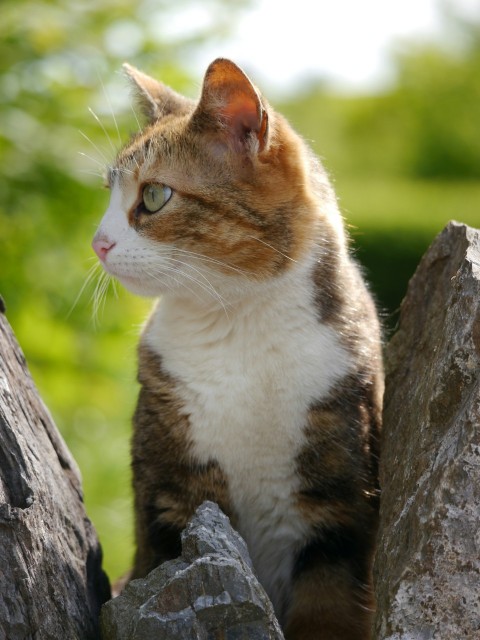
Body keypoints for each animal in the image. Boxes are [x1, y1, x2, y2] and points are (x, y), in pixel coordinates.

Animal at [92, 57, 384, 636]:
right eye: (109, 194)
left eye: (154, 196)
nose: (98, 242)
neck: (237, 327)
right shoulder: (172, 502)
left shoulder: (342, 506)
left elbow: (329, 604)